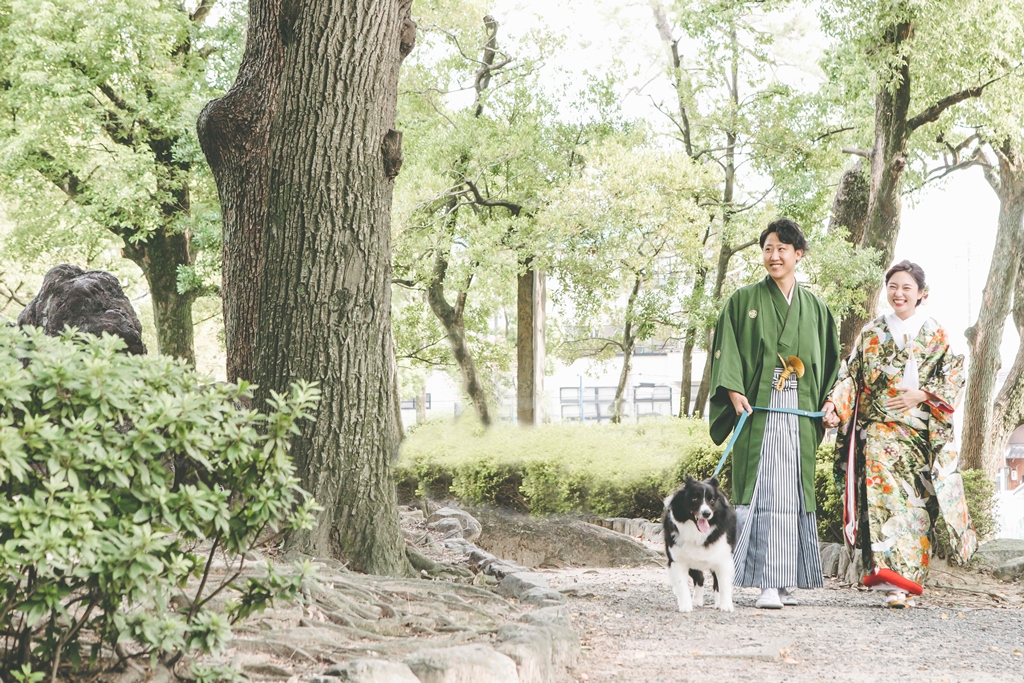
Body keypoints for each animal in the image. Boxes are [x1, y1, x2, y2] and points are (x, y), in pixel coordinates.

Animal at [663, 475, 737, 614]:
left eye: (712, 500)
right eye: (694, 498)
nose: (706, 513)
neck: (697, 533)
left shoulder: (723, 558)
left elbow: (723, 583)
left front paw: (726, 605)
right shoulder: (677, 560)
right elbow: (681, 584)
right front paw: (686, 606)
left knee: (715, 582)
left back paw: (717, 602)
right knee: (700, 578)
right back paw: (697, 600)